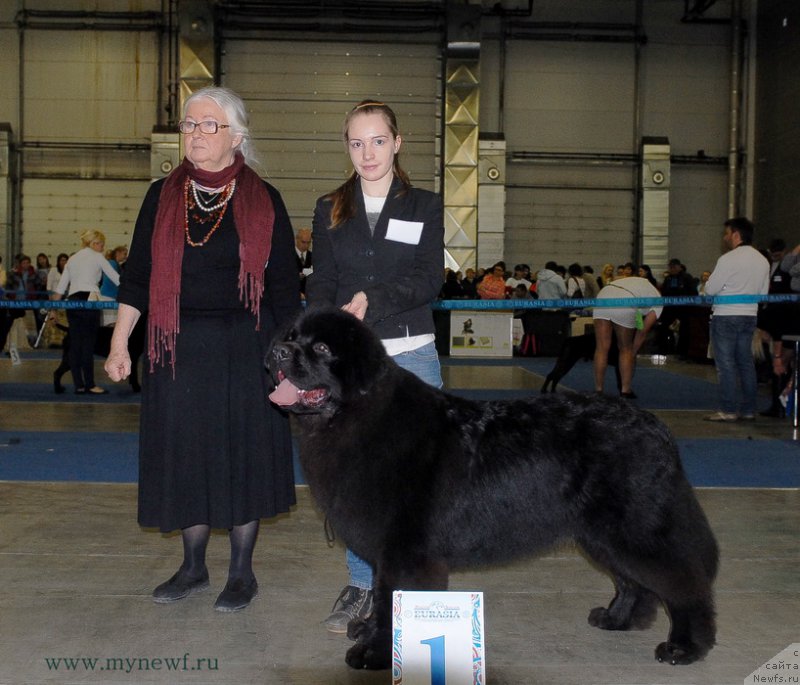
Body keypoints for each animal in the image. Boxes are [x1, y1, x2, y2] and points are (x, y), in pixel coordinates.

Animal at [268, 308, 720, 672]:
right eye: (291, 335)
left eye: (322, 347)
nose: (277, 352)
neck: (358, 417)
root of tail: (656, 427)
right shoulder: (387, 549)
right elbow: (381, 597)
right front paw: (367, 631)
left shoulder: (403, 548)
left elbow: (390, 597)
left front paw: (376, 651)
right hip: (602, 533)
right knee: (631, 580)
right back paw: (617, 619)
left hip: (635, 528)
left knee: (683, 581)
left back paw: (684, 647)